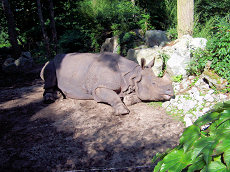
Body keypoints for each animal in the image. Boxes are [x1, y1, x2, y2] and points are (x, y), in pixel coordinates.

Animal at [40, 51, 173, 115]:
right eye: (154, 84)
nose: (171, 92)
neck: (132, 75)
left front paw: (128, 99)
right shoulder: (98, 88)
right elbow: (112, 97)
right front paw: (123, 111)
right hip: (52, 63)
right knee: (49, 74)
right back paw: (50, 99)